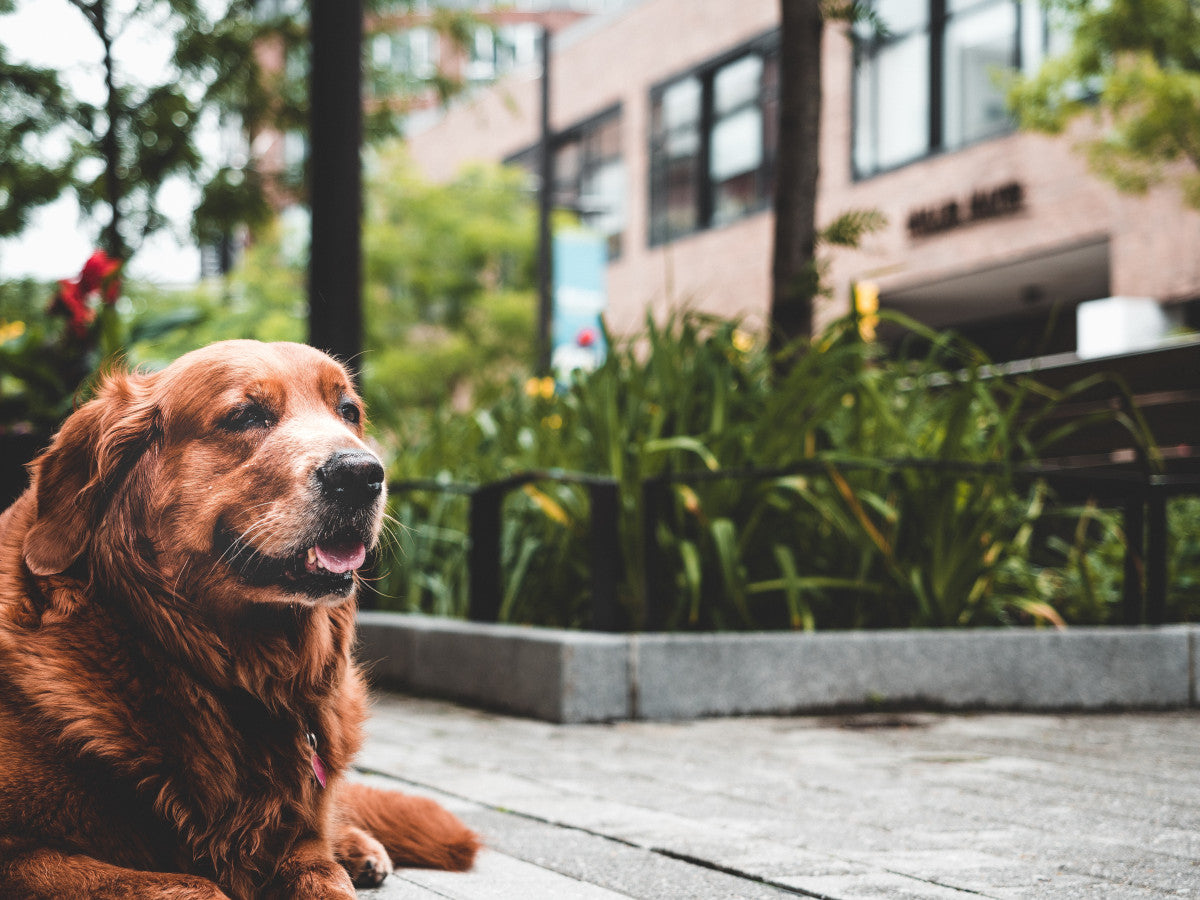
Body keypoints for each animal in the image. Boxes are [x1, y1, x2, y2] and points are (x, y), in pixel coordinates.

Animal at [0, 340, 477, 897]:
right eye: (245, 415)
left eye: (348, 411)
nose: (362, 474)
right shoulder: (20, 852)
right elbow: (194, 884)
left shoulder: (302, 849)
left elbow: (323, 868)